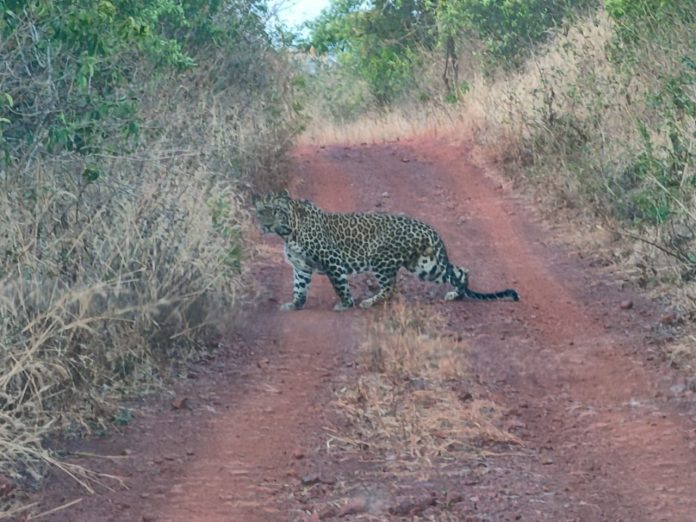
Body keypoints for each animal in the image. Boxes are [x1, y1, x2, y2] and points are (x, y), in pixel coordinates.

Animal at [253, 192, 520, 310]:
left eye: (275, 211)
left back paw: (368, 302)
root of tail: (429, 228)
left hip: (381, 258)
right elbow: (299, 287)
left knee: (391, 288)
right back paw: (457, 294)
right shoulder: (301, 265)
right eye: (260, 211)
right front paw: (295, 304)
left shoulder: (332, 259)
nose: (265, 225)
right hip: (424, 264)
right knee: (461, 271)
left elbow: (340, 284)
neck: (288, 231)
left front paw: (346, 304)